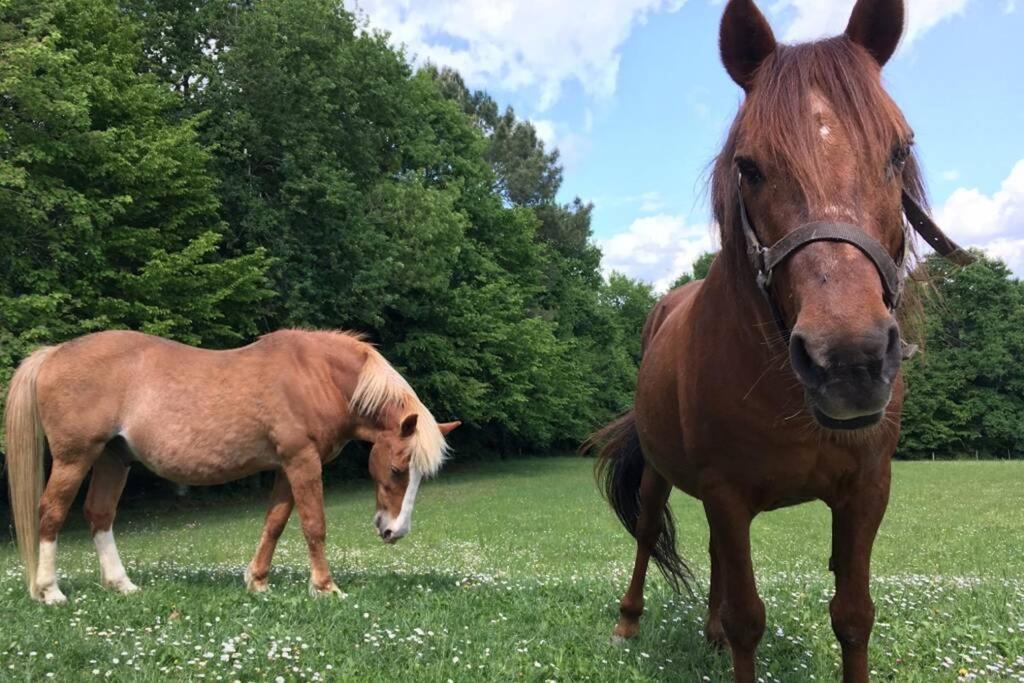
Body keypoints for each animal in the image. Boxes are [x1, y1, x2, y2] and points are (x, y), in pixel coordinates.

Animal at [4, 331, 460, 602]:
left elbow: (275, 523)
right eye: (398, 469)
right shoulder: (302, 461)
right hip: (75, 458)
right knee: (51, 513)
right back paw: (49, 591)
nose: (394, 531)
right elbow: (314, 524)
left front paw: (257, 581)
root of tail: (53, 353)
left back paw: (123, 585)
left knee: (99, 515)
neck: (317, 375)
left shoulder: (286, 466)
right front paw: (326, 587)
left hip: (114, 458)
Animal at [589, 1, 970, 683]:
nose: (848, 361)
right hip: (660, 473)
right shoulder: (726, 492)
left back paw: (708, 629)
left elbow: (853, 615)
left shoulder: (866, 491)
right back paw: (629, 622)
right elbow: (749, 620)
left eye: (899, 151)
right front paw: (724, 629)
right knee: (647, 534)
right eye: (749, 166)